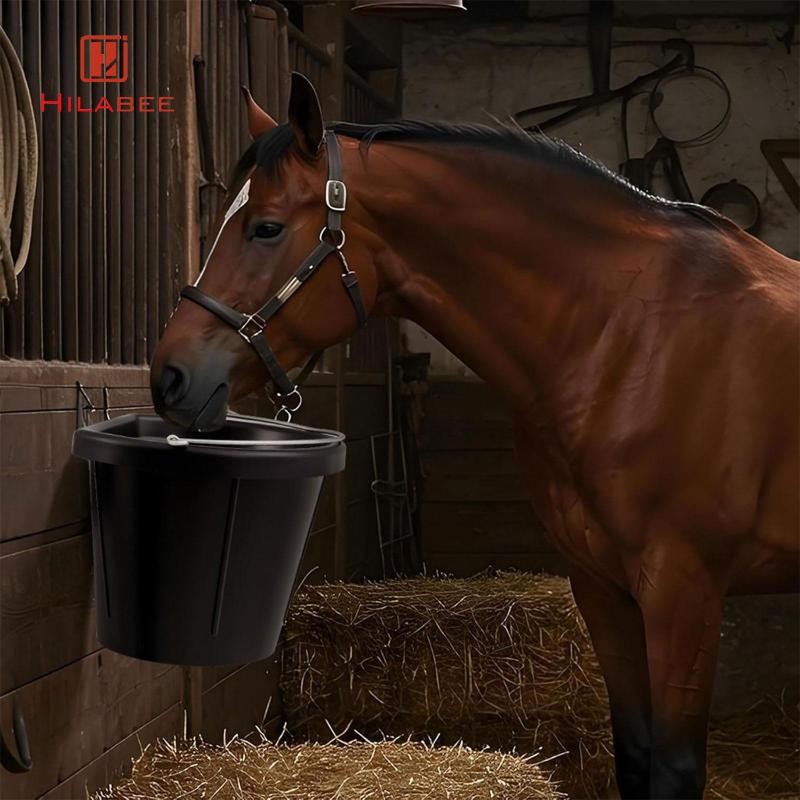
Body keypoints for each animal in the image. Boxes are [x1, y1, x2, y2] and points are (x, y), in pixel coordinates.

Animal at [150, 73, 799, 800]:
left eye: (265, 227)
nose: (170, 377)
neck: (632, 334)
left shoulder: (684, 592)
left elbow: (675, 770)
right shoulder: (603, 588)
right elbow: (634, 753)